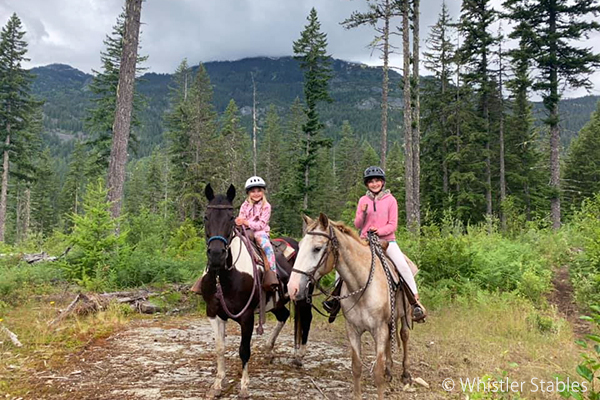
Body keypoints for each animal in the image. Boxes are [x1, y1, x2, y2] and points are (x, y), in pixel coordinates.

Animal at [202, 184, 314, 396]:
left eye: (231, 217)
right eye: (205, 217)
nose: (216, 255)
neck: (226, 277)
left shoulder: (247, 316)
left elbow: (244, 350)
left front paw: (244, 386)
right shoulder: (214, 313)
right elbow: (220, 347)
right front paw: (218, 384)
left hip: (303, 297)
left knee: (306, 318)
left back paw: (300, 356)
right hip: (277, 301)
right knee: (284, 315)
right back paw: (269, 350)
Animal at [288, 214, 412, 398]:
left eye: (317, 248)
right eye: (300, 245)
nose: (292, 287)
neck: (362, 283)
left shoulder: (379, 329)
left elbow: (378, 373)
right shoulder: (353, 329)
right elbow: (357, 367)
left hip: (405, 314)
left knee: (404, 335)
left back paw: (405, 373)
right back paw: (390, 371)